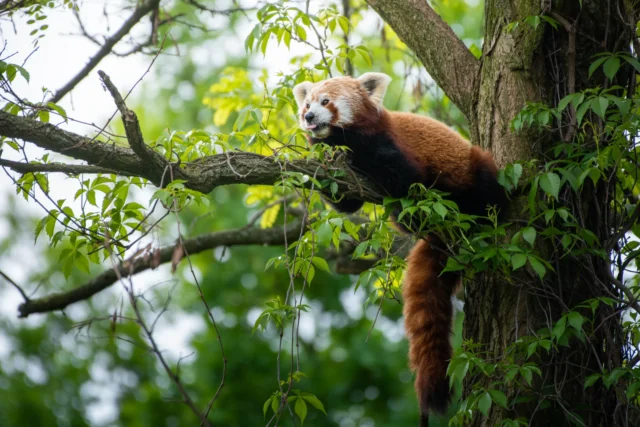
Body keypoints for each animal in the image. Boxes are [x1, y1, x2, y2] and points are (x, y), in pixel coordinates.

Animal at [292, 72, 508, 426]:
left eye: (325, 102)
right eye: (306, 104)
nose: (309, 117)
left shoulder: (390, 146)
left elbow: (405, 180)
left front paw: (403, 206)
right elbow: (345, 201)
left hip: (477, 173)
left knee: (486, 192)